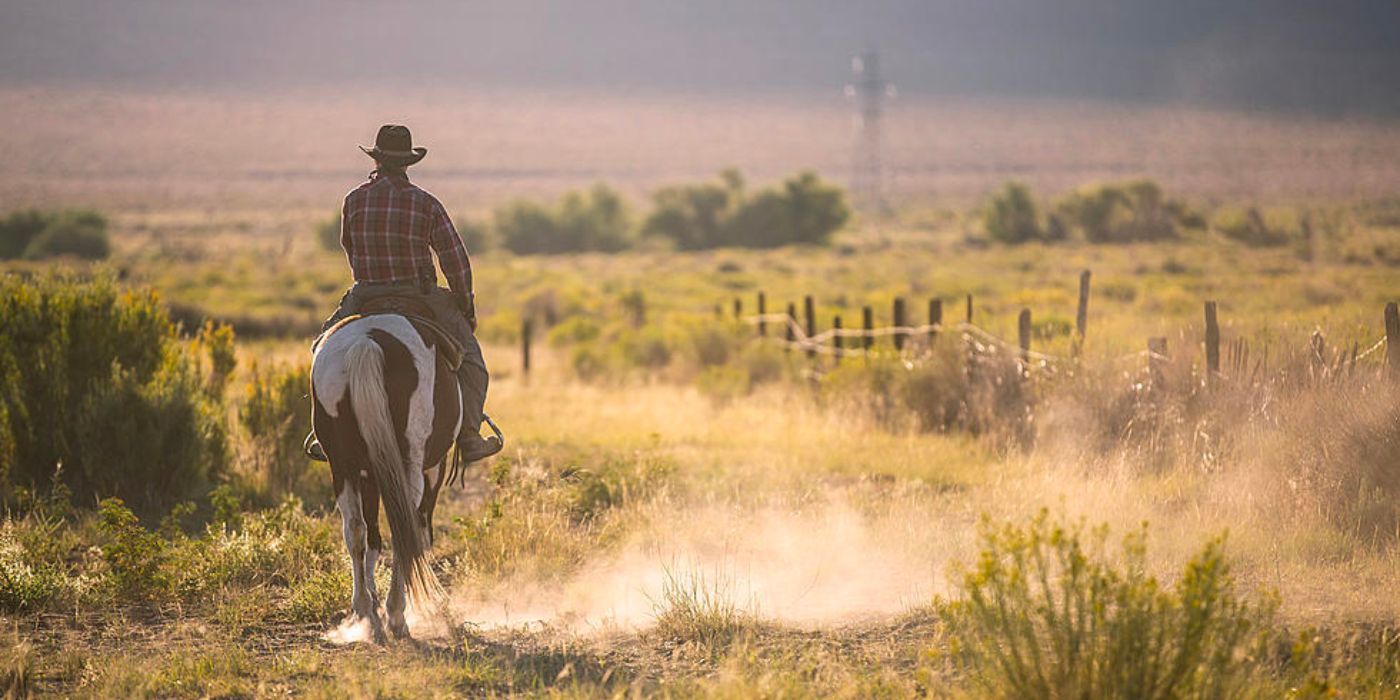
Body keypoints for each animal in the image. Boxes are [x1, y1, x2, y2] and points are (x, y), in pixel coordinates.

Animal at [306, 312, 459, 641]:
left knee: (355, 530)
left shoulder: (369, 473)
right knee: (405, 527)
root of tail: (367, 342)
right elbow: (419, 533)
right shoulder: (433, 469)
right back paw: (397, 615)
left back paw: (365, 611)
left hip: (343, 466)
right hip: (409, 465)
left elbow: (373, 535)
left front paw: (372, 598)